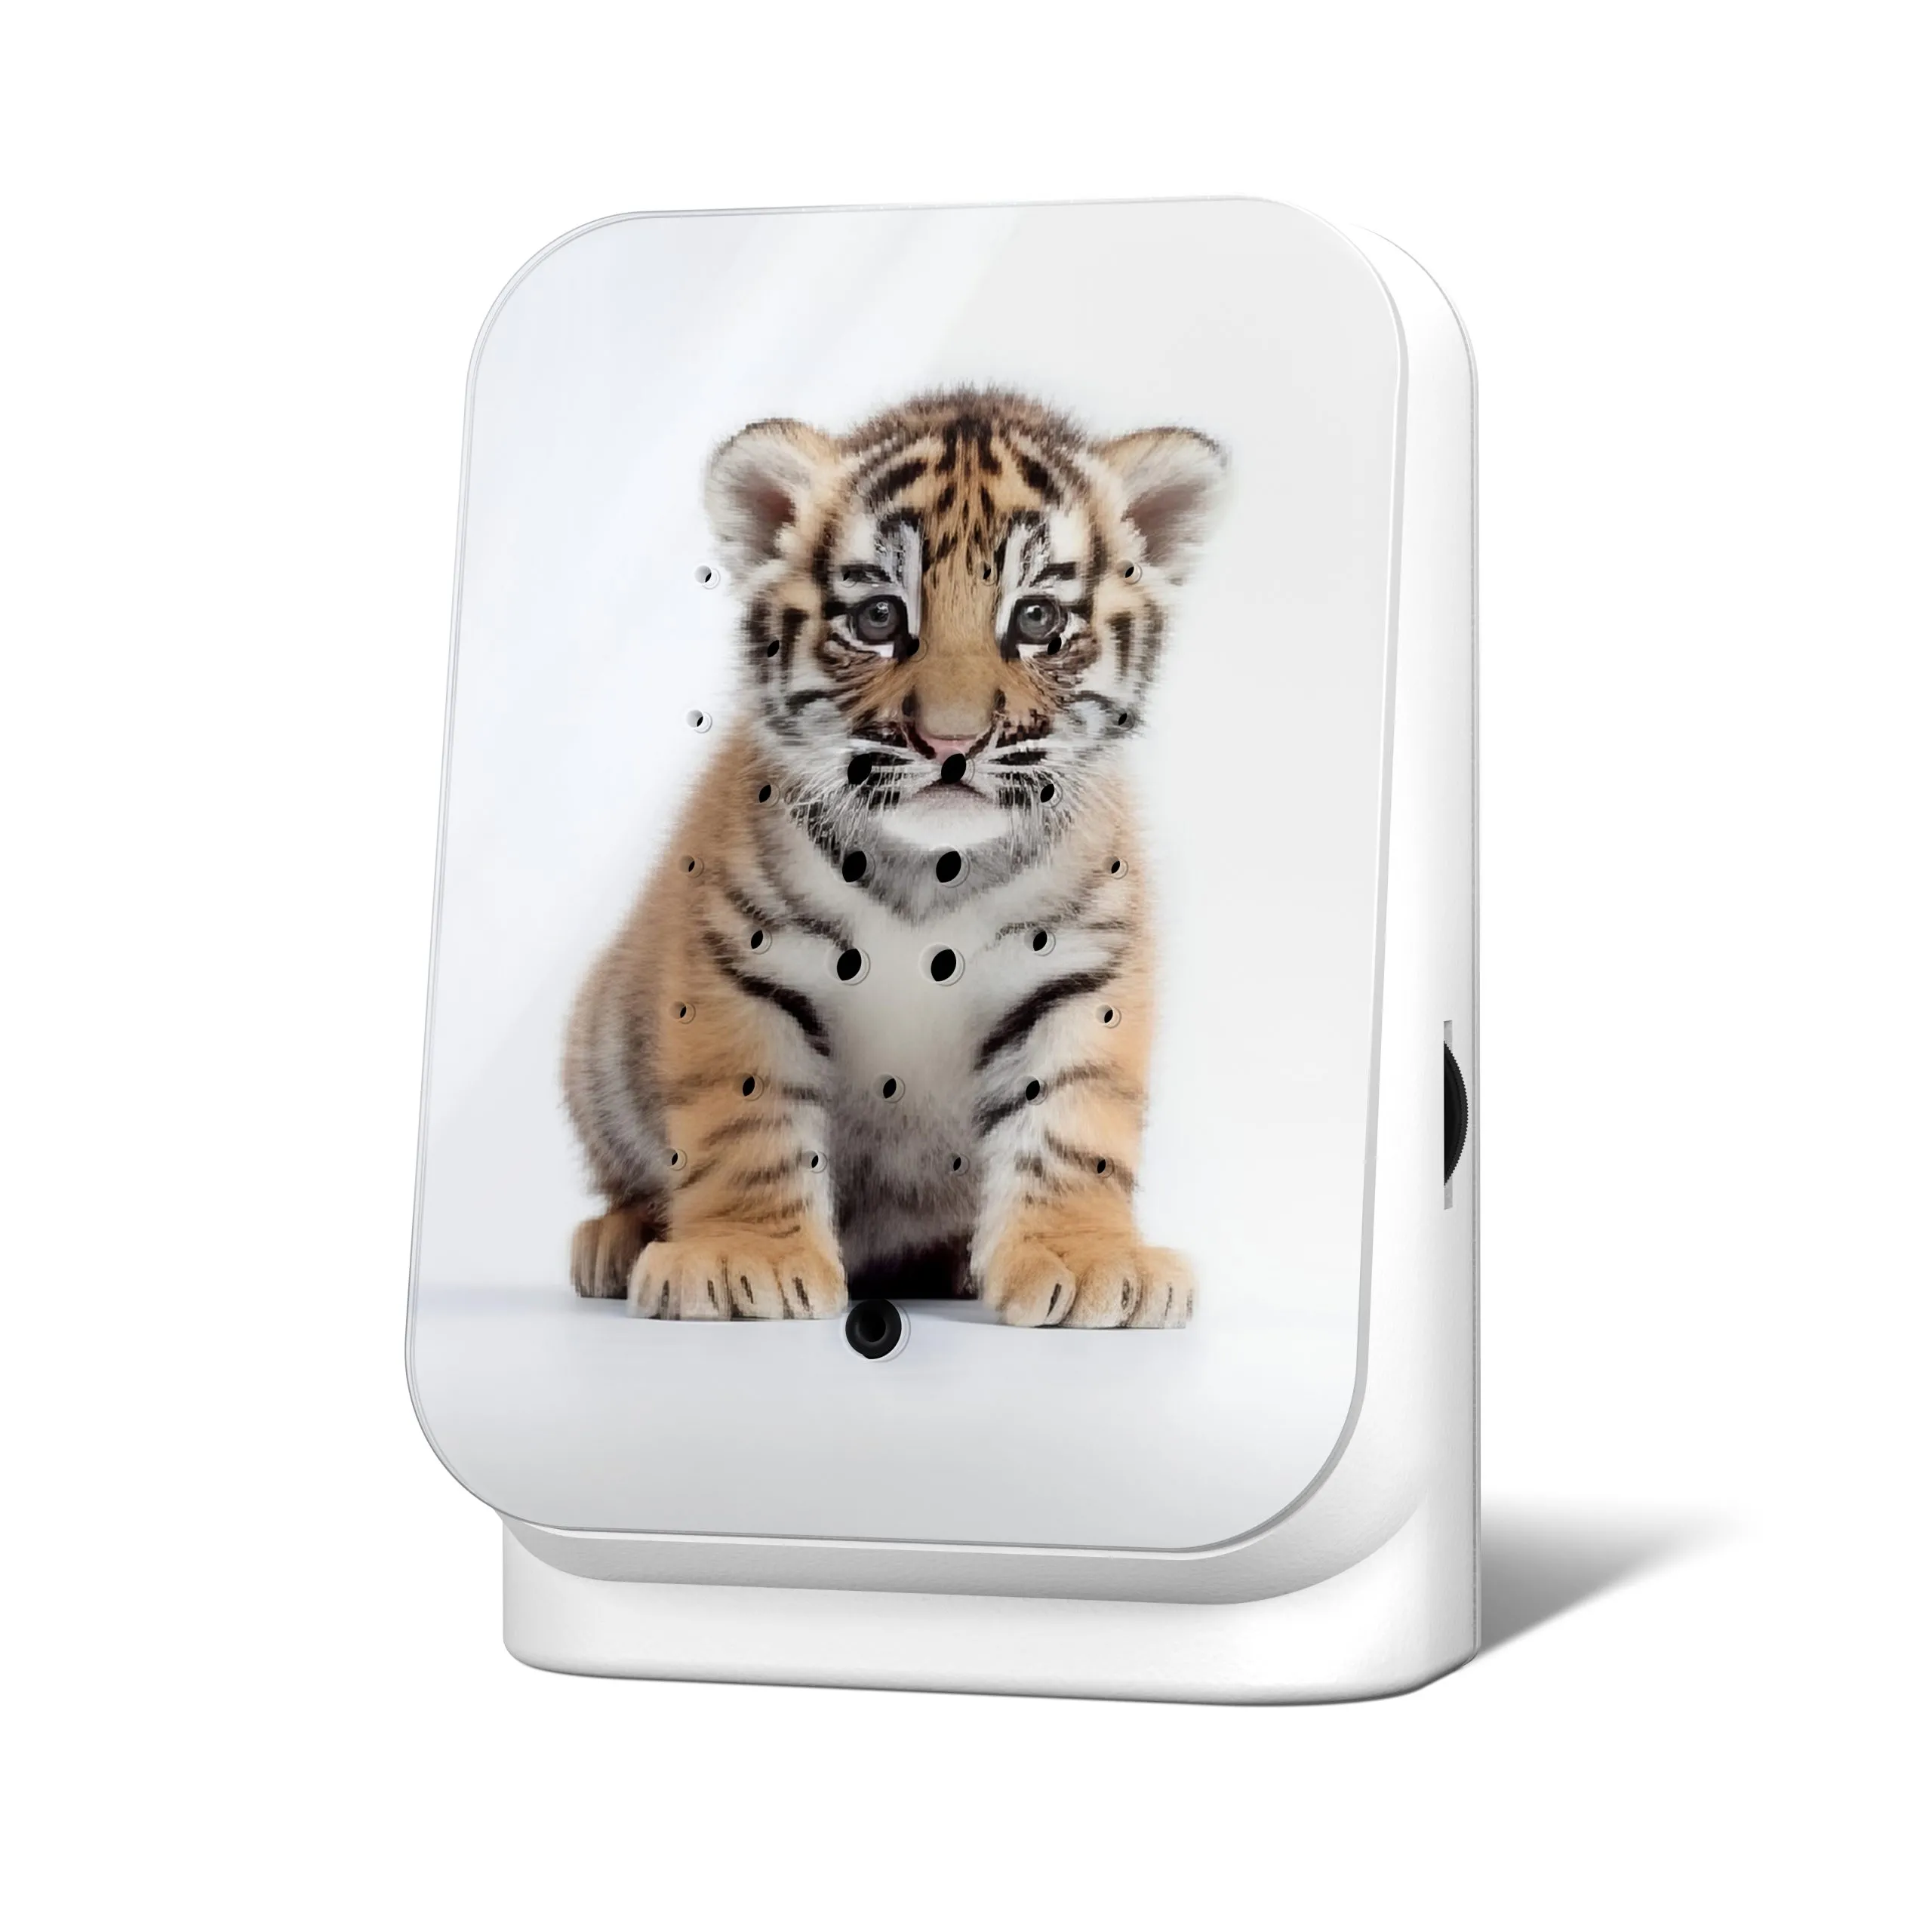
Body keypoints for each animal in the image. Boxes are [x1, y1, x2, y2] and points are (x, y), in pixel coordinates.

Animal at [563, 388, 1224, 1326]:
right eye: (879, 617)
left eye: (1036, 618)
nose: (950, 741)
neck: (932, 867)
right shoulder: (740, 961)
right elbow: (744, 1117)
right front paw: (742, 1259)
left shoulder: (1081, 968)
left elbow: (1071, 1120)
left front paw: (1088, 1259)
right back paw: (616, 1243)